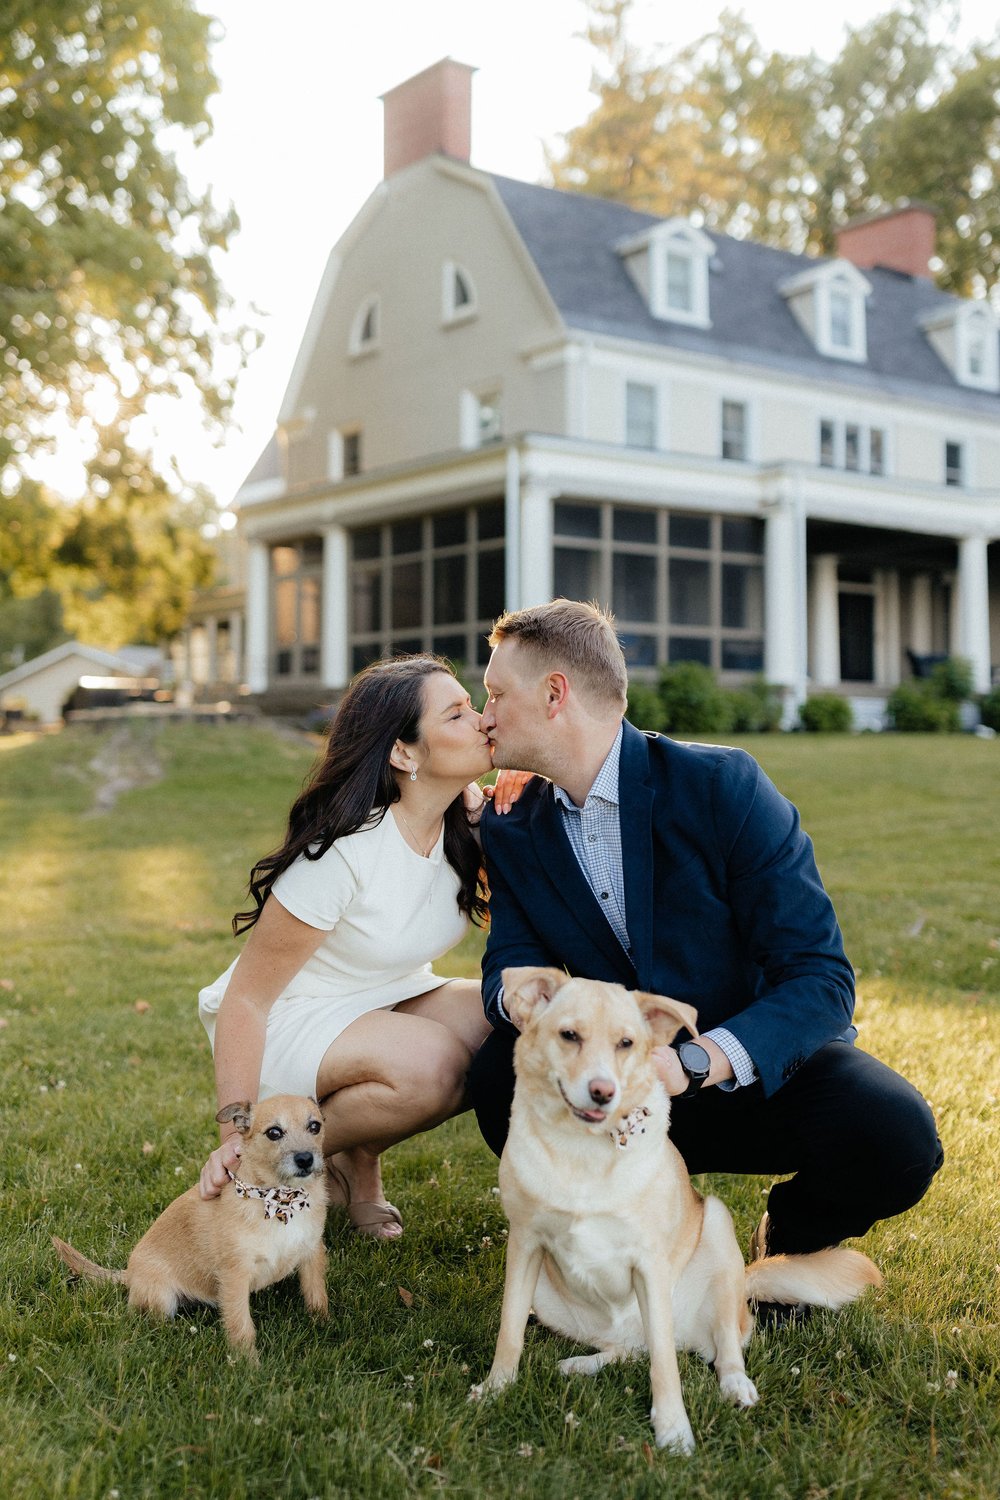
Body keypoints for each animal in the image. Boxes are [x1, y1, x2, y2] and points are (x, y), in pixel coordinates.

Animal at [52, 1092, 328, 1362]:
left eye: (315, 1126)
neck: (282, 1201)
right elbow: (241, 1326)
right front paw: (249, 1367)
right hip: (162, 1297)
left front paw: (323, 1328)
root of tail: (129, 1274)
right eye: (274, 1133)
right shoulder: (234, 1276)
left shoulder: (312, 1253)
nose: (305, 1159)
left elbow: (317, 1296)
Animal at [473, 972, 881, 1452]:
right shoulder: (524, 1245)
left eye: (626, 1043)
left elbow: (666, 1366)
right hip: (550, 1297)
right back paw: (581, 1364)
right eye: (569, 1035)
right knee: (630, 1349)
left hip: (719, 1240)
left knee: (721, 1348)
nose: (603, 1092)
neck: (581, 1150)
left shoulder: (649, 1263)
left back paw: (736, 1385)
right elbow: (510, 1330)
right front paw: (495, 1389)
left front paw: (672, 1429)